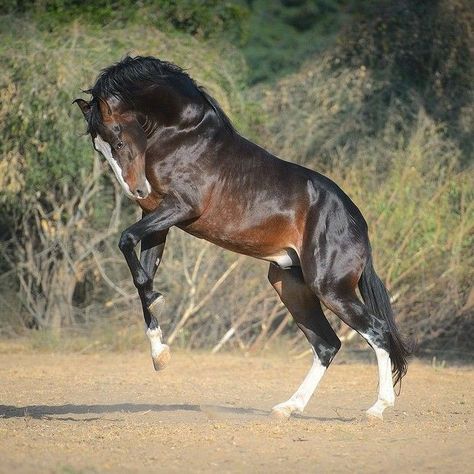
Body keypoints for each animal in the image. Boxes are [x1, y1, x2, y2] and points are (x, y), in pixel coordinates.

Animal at [74, 55, 412, 418]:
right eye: (100, 148)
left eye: (119, 139)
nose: (137, 190)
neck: (182, 134)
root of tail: (357, 222)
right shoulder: (156, 220)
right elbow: (142, 278)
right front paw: (159, 354)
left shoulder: (179, 208)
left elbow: (125, 241)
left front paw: (158, 312)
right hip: (290, 284)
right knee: (327, 344)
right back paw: (288, 407)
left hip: (329, 288)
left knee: (376, 331)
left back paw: (377, 408)